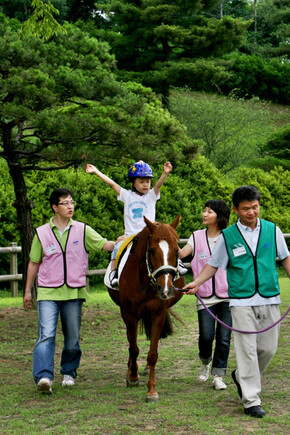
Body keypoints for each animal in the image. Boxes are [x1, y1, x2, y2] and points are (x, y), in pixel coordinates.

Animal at [107, 216, 185, 404]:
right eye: (152, 251)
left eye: (177, 250)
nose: (166, 288)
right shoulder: (129, 314)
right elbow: (133, 347)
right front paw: (133, 377)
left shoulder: (158, 313)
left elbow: (152, 353)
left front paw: (151, 390)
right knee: (131, 341)